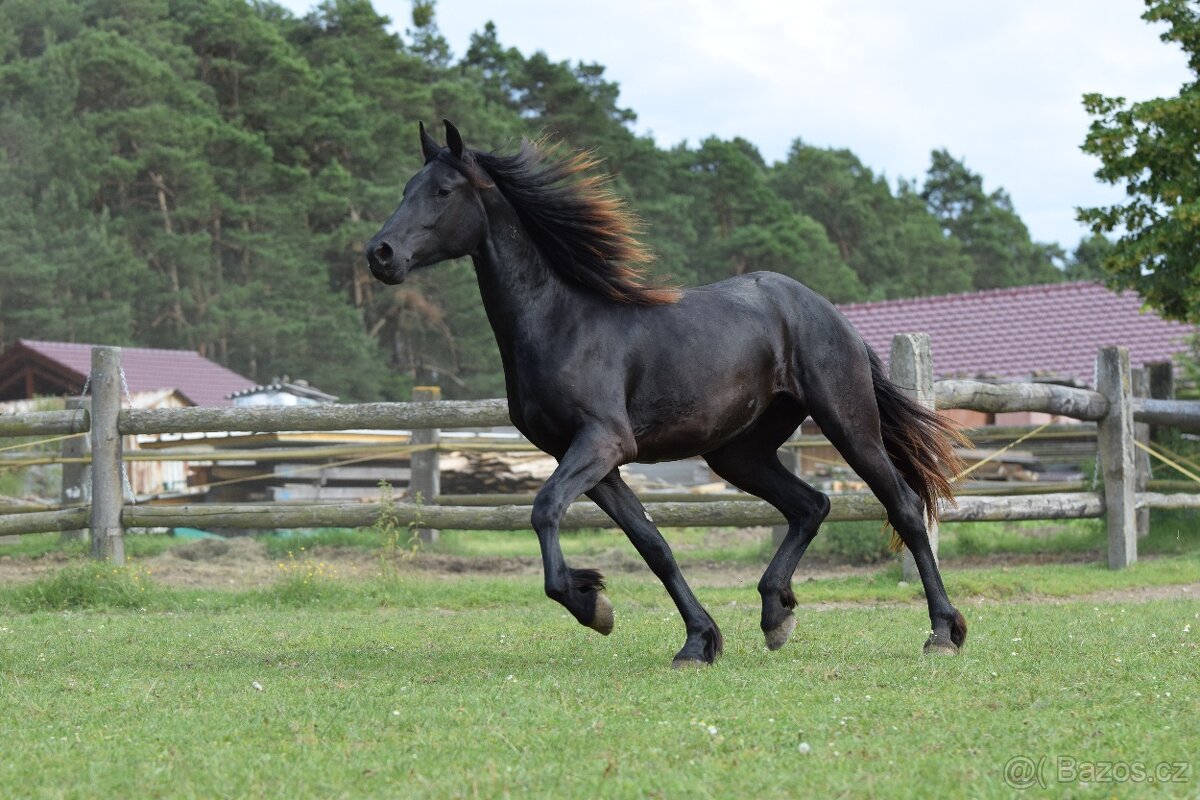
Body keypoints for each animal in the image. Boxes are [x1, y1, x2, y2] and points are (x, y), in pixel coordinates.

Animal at [362, 120, 964, 671]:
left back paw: (942, 632)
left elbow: (545, 508)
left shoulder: (603, 443)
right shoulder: (592, 460)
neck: (561, 323)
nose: (380, 253)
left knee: (904, 507)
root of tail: (827, 312)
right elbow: (653, 545)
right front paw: (697, 641)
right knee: (811, 505)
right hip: (738, 453)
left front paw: (591, 604)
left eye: (442, 190)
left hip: (846, 423)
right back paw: (776, 614)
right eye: (406, 188)